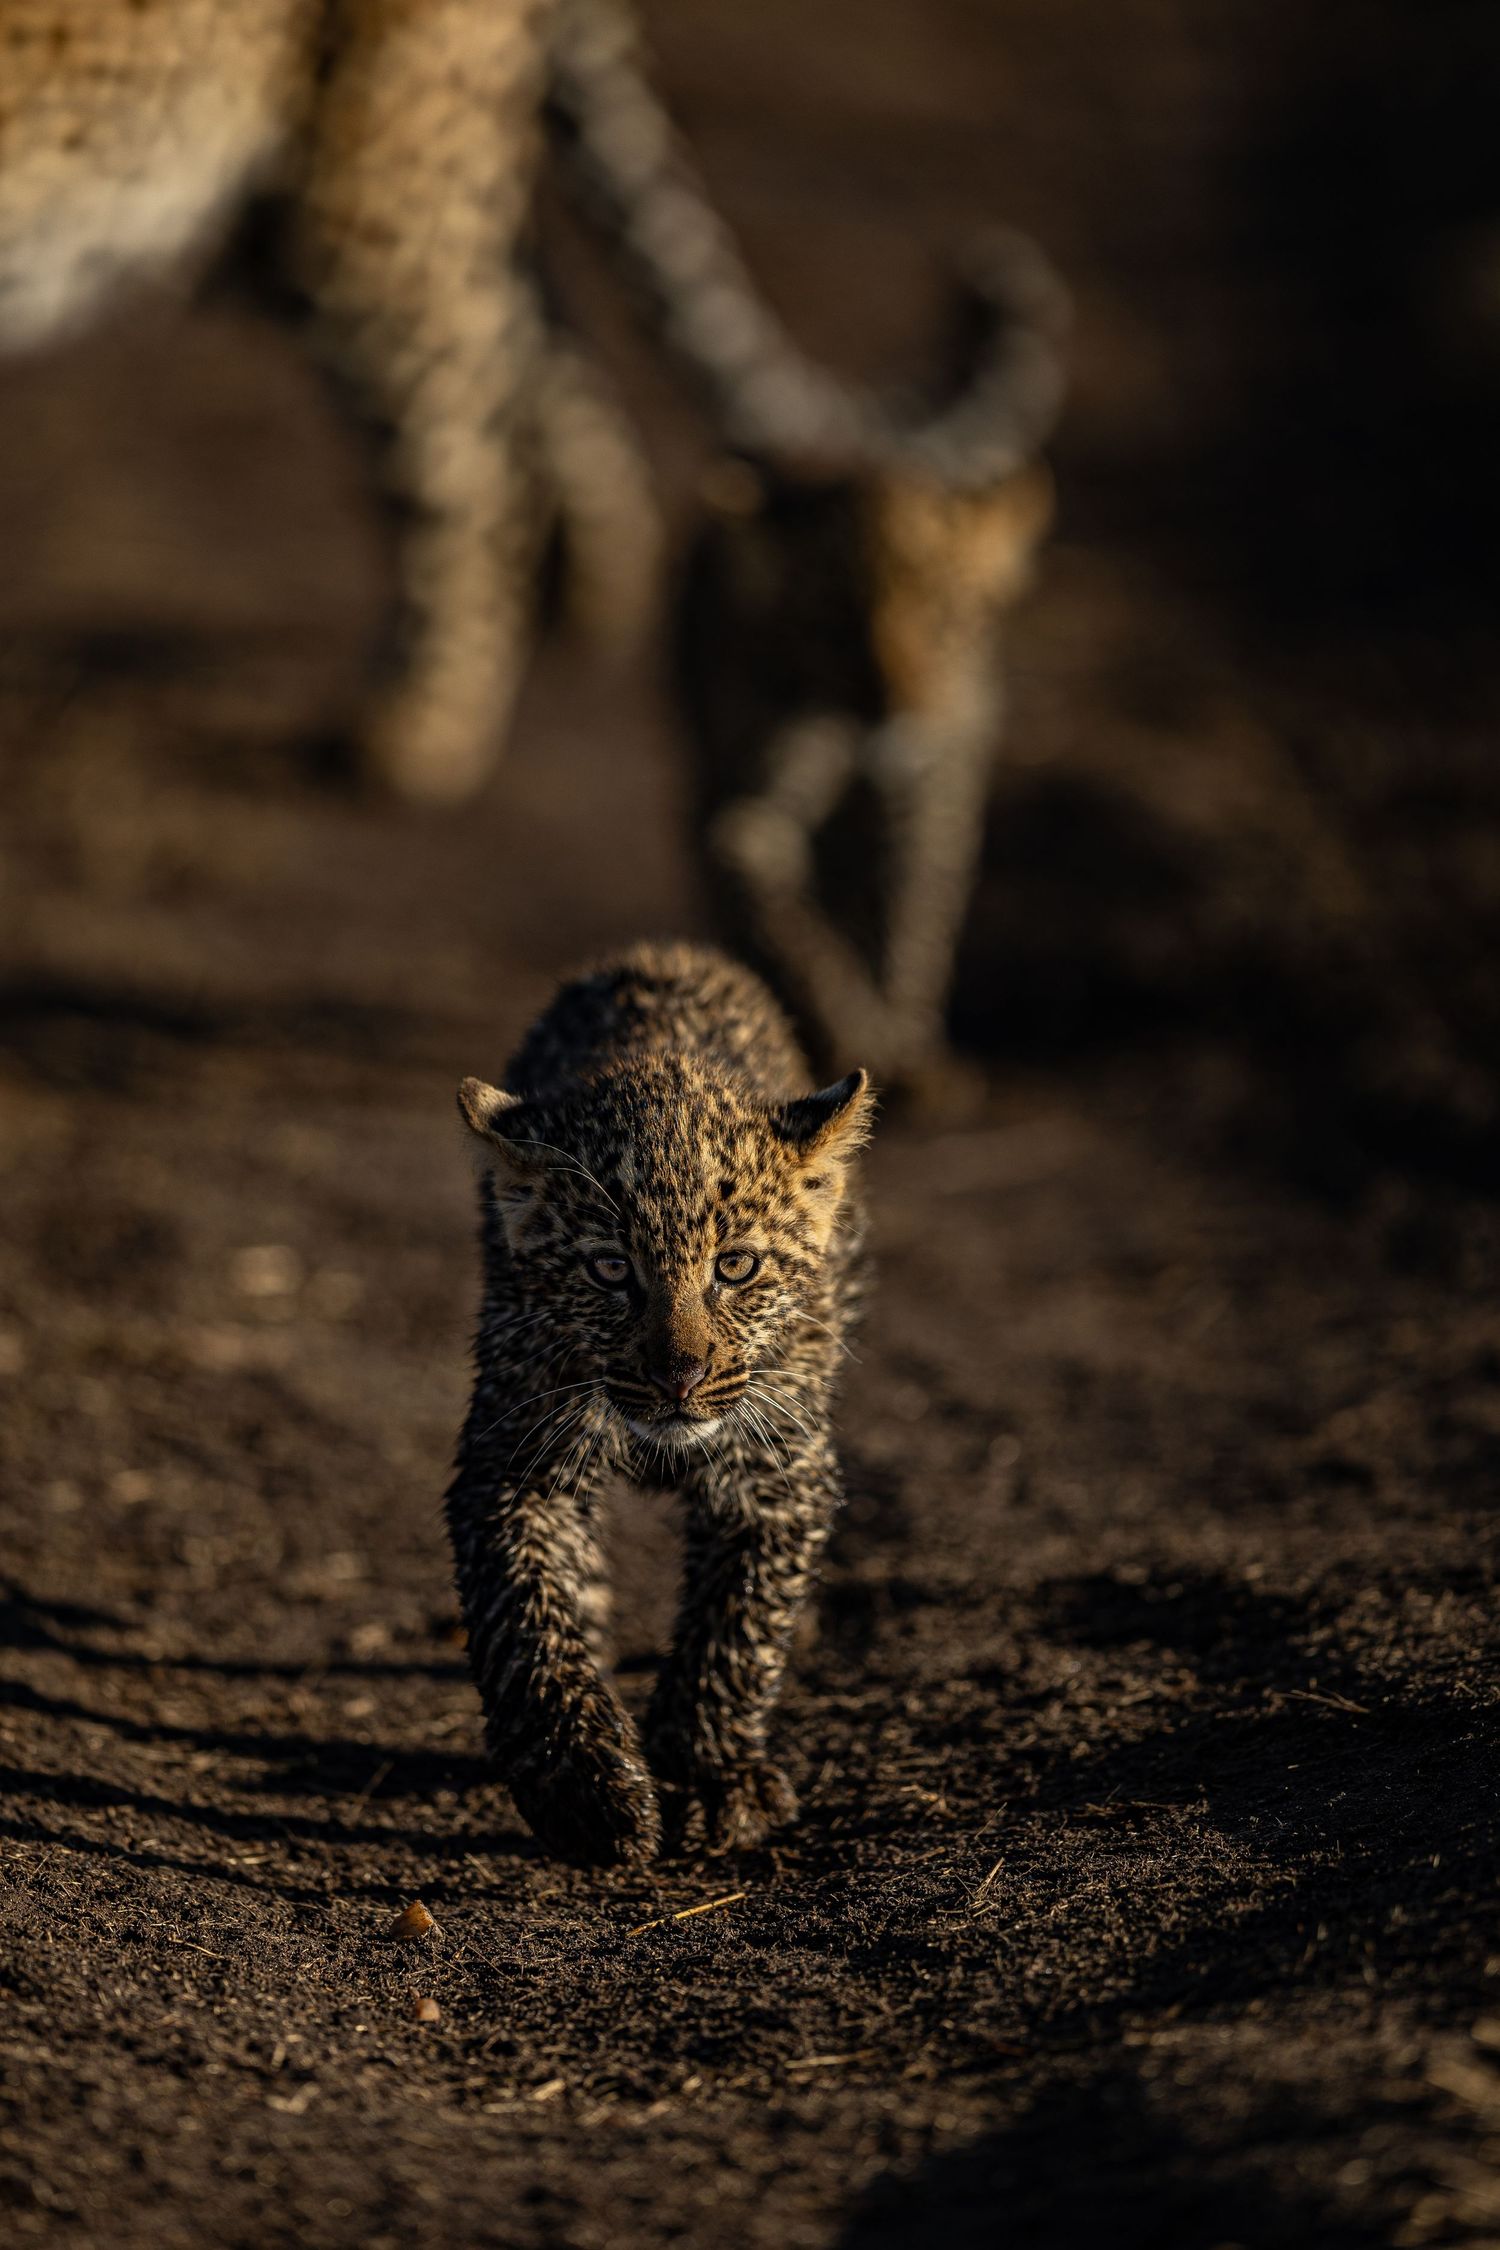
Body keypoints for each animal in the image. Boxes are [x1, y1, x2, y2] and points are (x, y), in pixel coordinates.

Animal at [446, 939, 874, 1864]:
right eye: (611, 1270)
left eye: (736, 1267)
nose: (679, 1377)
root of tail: (665, 952)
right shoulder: (516, 1463)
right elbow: (525, 1619)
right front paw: (585, 1789)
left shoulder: (777, 1474)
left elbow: (735, 1627)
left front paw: (708, 1778)